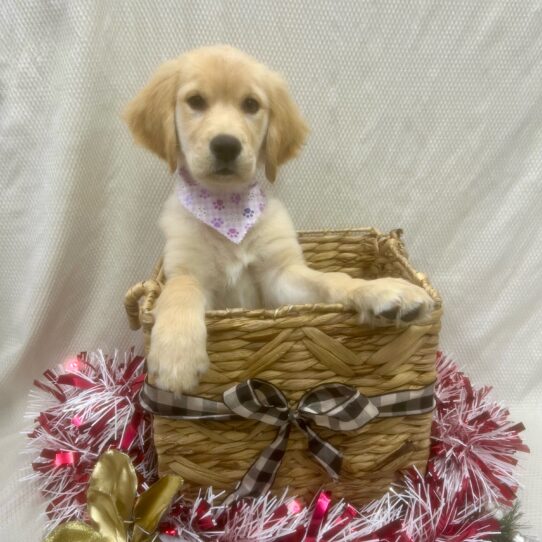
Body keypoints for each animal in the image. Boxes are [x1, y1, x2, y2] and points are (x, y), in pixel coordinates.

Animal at [125, 45, 436, 396]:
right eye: (195, 101)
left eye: (251, 104)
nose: (226, 145)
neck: (227, 209)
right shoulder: (188, 270)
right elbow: (180, 291)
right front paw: (176, 354)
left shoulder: (279, 279)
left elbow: (333, 278)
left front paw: (383, 290)